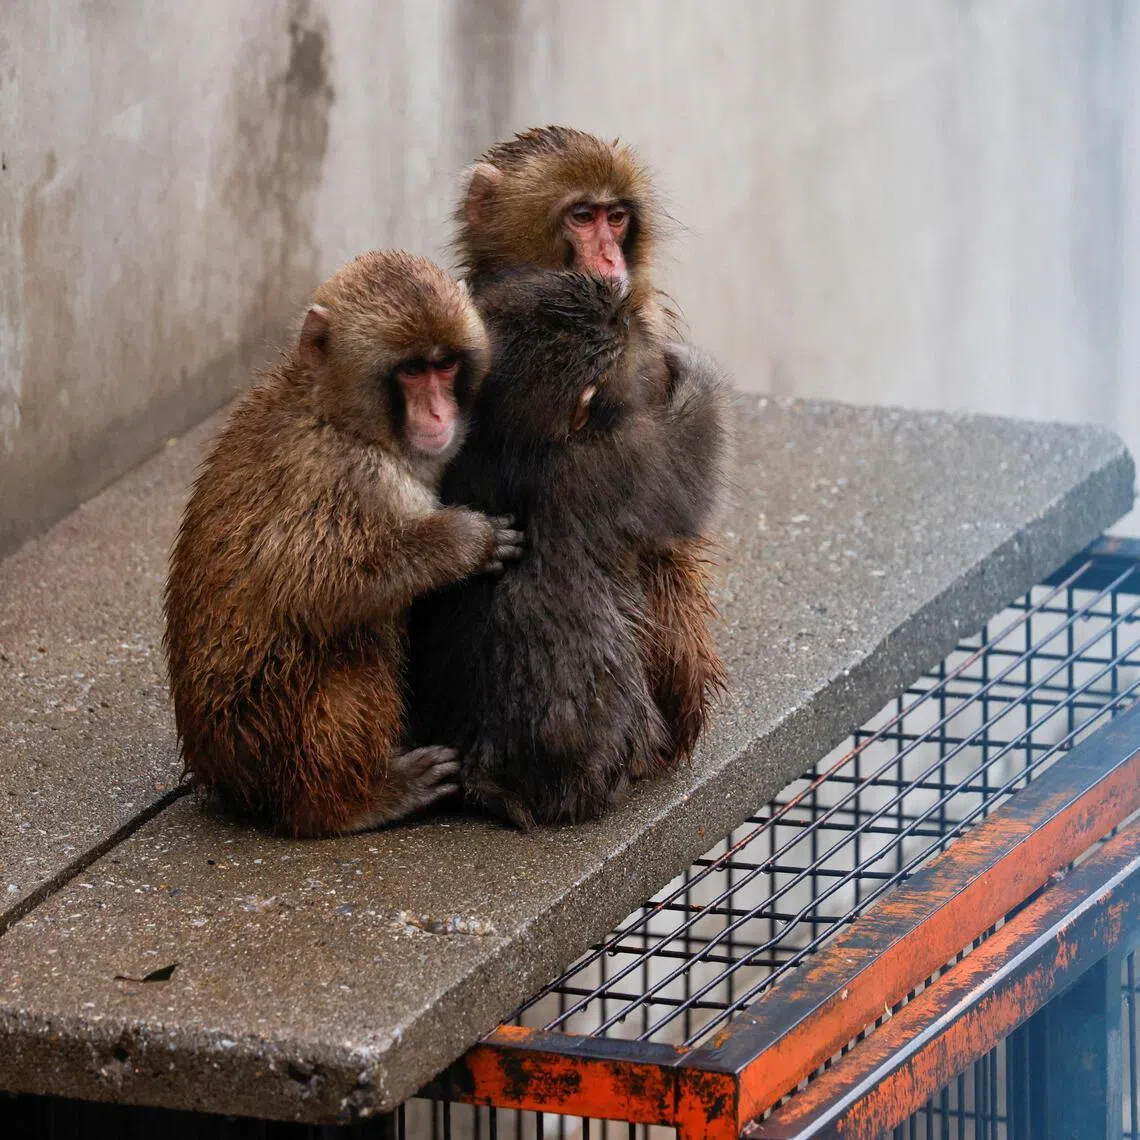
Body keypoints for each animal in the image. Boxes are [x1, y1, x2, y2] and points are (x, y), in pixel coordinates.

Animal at [163, 250, 524, 838]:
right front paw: (465, 542)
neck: (339, 418)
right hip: (265, 737)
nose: (438, 414)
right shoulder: (349, 478)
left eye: (445, 365)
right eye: (411, 370)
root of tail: (220, 778)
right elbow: (309, 587)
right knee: (353, 644)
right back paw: (346, 803)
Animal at [408, 268, 726, 828]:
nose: (624, 307)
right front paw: (690, 365)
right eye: (622, 328)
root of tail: (482, 766)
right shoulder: (623, 456)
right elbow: (689, 471)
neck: (515, 441)